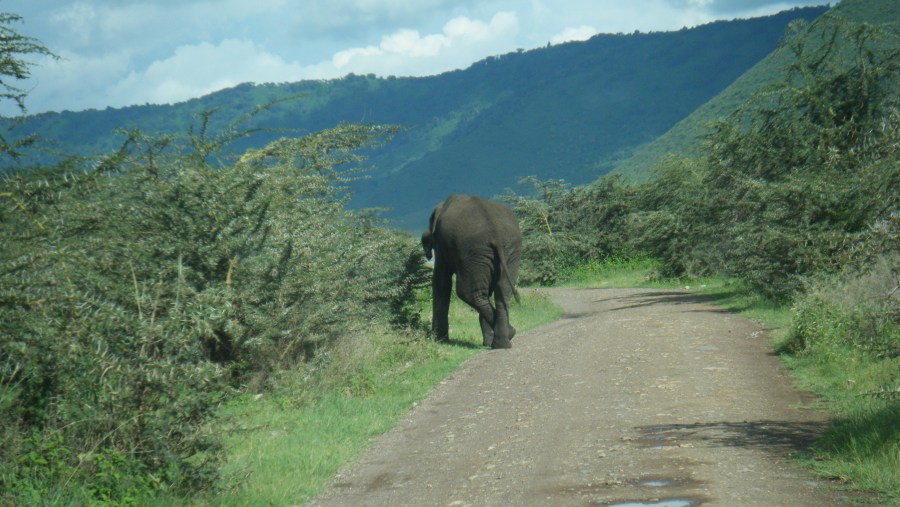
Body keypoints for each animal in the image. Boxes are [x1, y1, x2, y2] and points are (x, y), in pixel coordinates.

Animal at [420, 194, 520, 350]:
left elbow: (441, 281)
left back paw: (505, 338)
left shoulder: (442, 245)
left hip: (473, 252)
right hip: (506, 251)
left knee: (469, 293)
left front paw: (439, 340)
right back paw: (505, 340)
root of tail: (496, 233)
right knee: (501, 292)